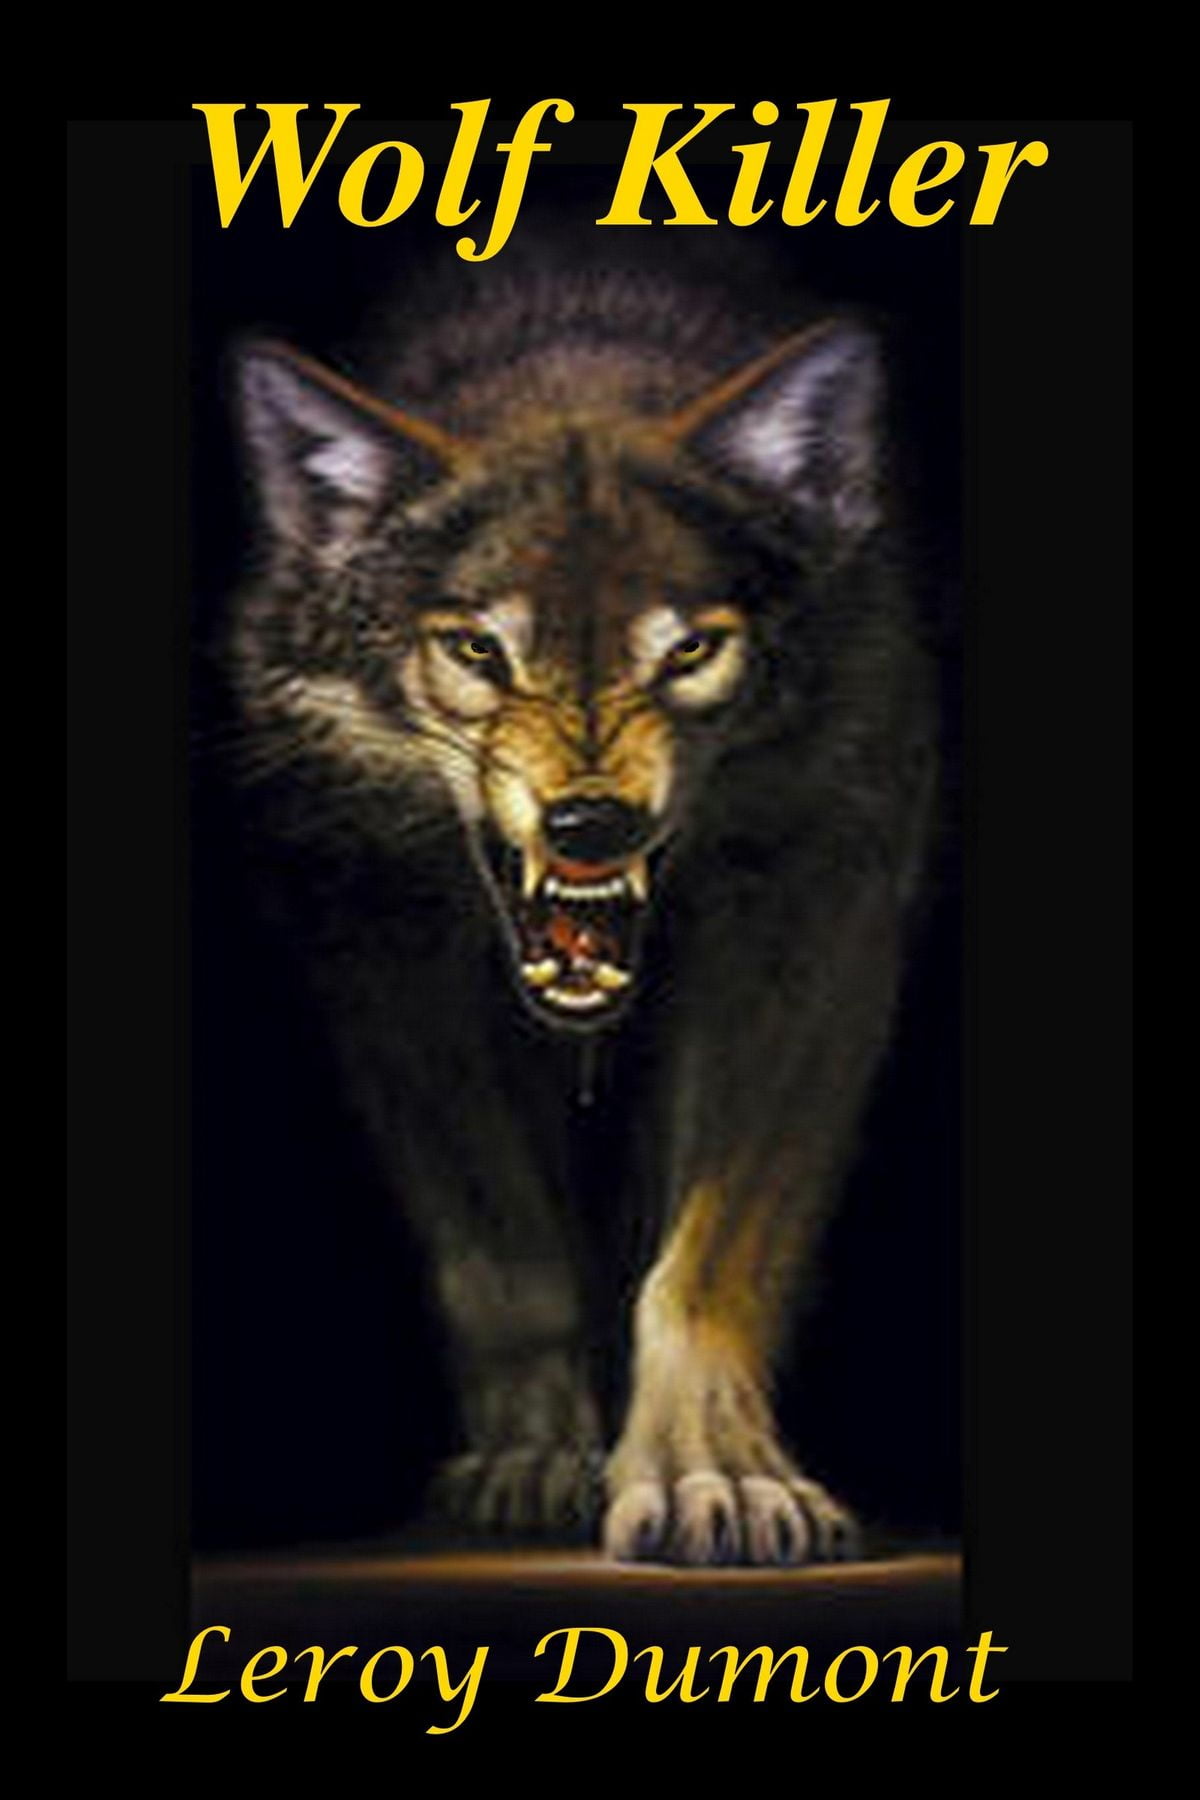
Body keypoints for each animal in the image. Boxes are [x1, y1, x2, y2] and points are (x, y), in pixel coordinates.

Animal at [226, 268, 935, 1565]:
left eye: (692, 649)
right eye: (476, 649)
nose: (592, 824)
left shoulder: (819, 925)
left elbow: (709, 1255)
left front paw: (717, 1476)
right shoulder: (376, 957)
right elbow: (504, 1253)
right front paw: (540, 1458)